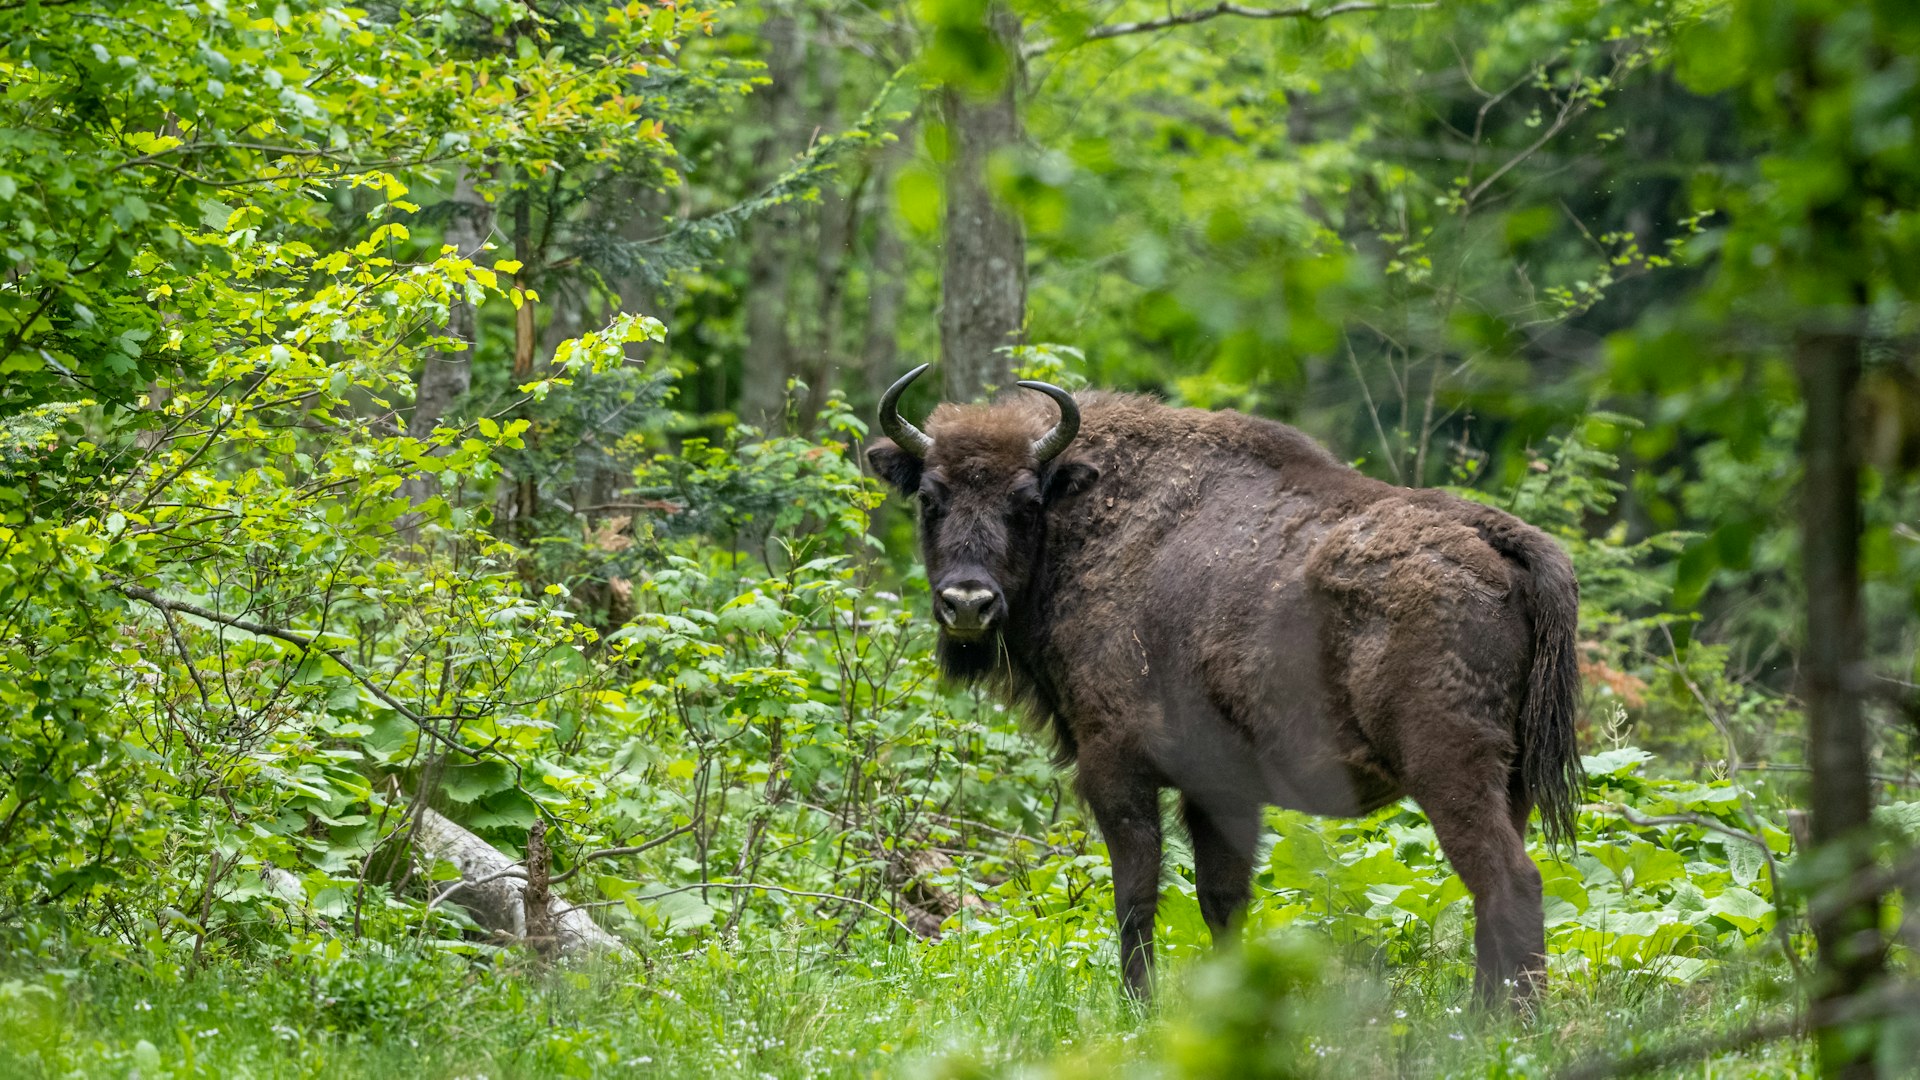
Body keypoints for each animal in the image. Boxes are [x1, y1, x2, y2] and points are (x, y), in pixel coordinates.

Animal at [867, 365, 1582, 1006]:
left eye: (1026, 501)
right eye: (929, 498)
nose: (967, 602)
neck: (1085, 518)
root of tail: (1498, 538)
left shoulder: (1115, 765)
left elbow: (1137, 893)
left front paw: (1139, 1006)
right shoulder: (1220, 790)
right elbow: (1223, 900)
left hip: (1450, 769)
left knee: (1510, 883)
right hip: (1511, 781)